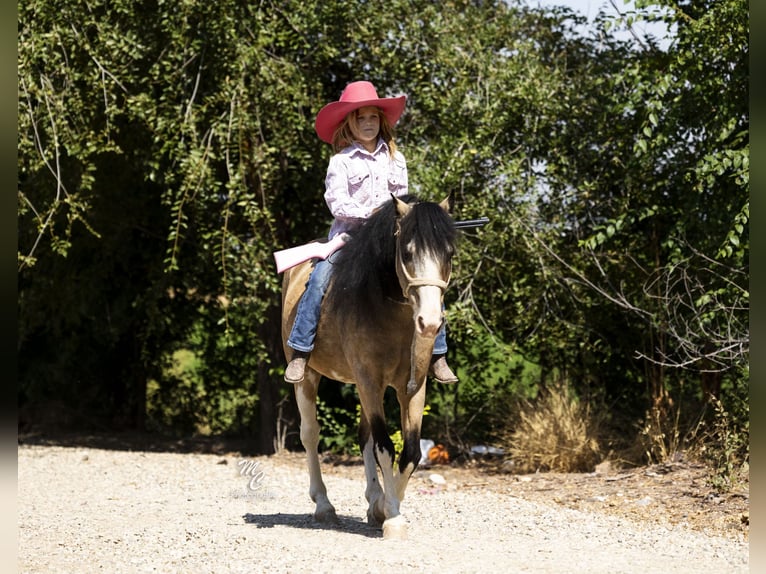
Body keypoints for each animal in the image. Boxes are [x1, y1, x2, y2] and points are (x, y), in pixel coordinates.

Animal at [284, 196, 460, 544]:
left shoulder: (412, 388)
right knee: (310, 434)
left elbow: (410, 452)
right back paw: (324, 506)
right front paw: (392, 518)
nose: (431, 323)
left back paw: (372, 499)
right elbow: (384, 446)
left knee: (363, 436)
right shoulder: (369, 381)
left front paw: (383, 507)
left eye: (449, 253)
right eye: (407, 252)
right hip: (308, 378)